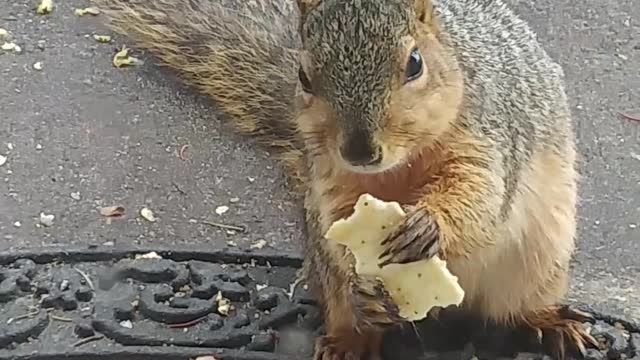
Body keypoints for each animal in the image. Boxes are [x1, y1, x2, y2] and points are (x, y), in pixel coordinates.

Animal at [94, 0, 600, 358]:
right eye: (303, 75)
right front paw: (364, 284)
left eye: (415, 63)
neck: (399, 168)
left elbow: (478, 194)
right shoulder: (331, 177)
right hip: (324, 273)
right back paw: (349, 336)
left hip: (538, 261)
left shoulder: (487, 138)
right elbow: (339, 221)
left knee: (519, 307)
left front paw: (427, 225)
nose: (359, 150)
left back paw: (553, 322)